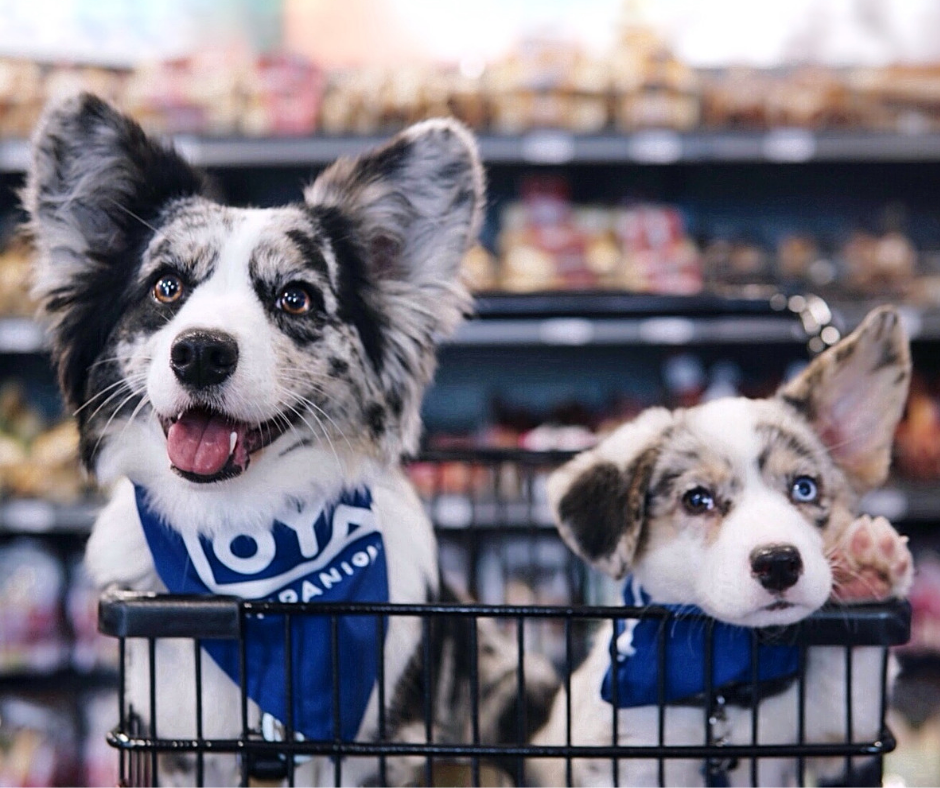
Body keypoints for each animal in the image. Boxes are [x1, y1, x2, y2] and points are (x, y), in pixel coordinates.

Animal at [532, 310, 916, 788]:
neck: (727, 692)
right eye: (698, 499)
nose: (779, 563)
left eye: (804, 487)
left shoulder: (839, 741)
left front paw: (868, 573)